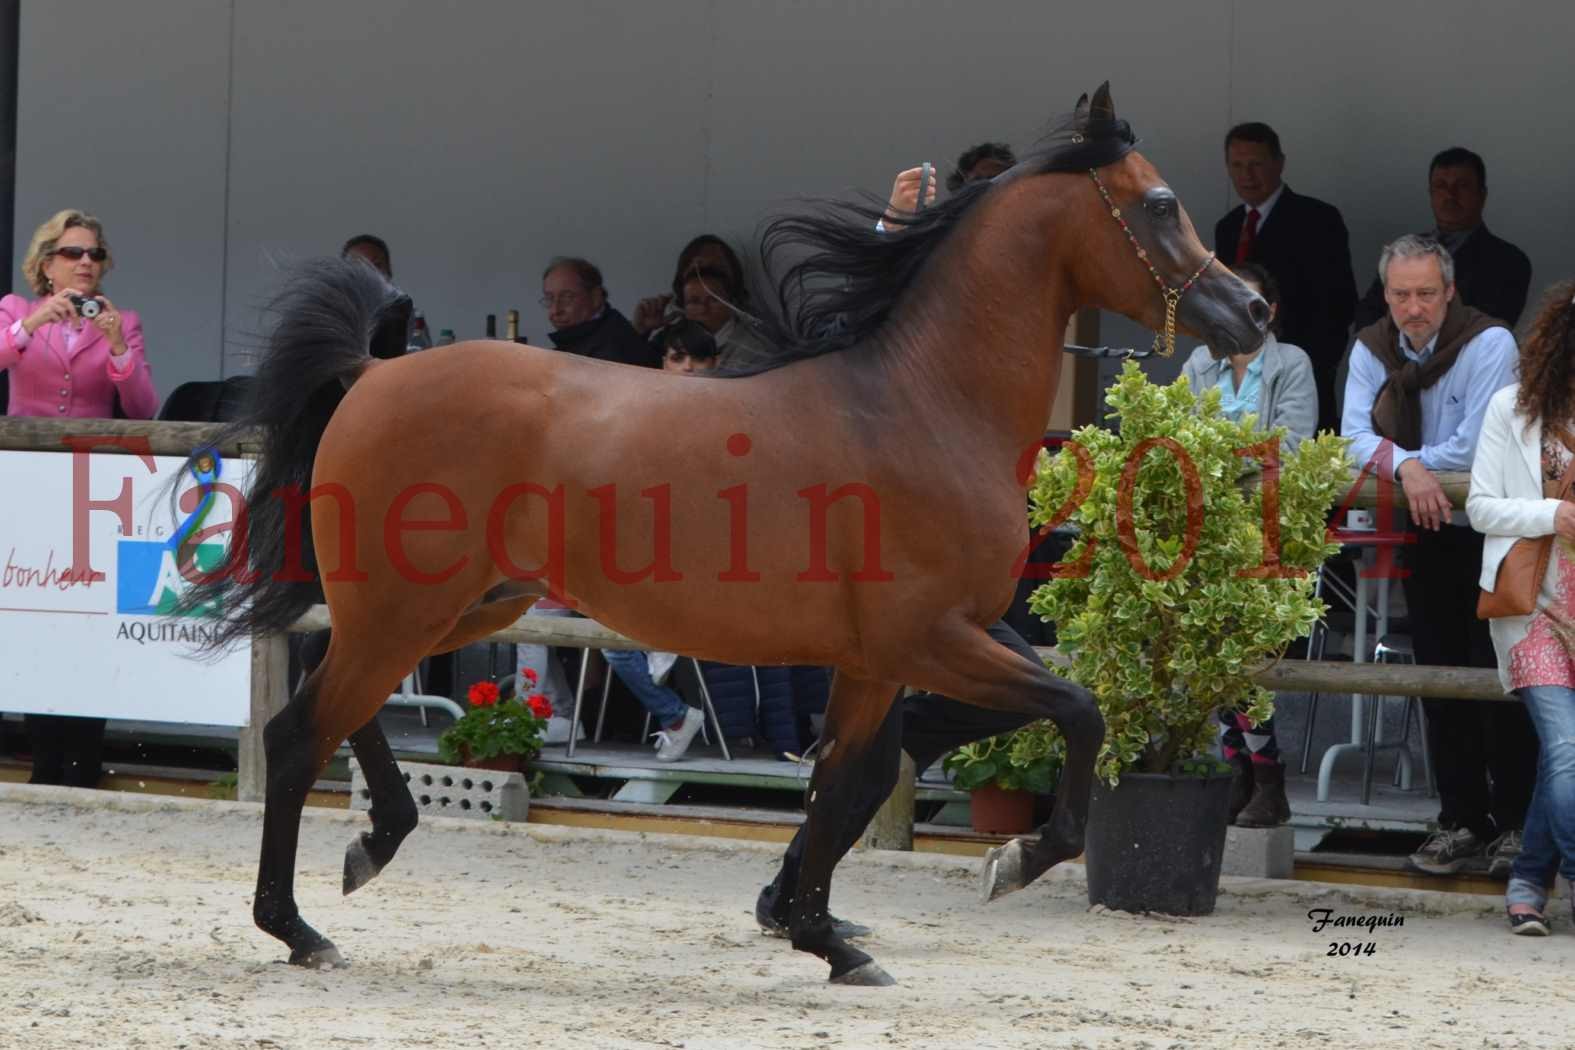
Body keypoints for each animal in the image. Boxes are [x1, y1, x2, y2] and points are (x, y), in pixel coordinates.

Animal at [184, 84, 1266, 994]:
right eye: (1160, 204)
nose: (1252, 311)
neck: (922, 405)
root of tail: (374, 372)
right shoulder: (930, 641)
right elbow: (1076, 712)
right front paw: (1013, 860)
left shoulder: (877, 661)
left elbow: (845, 782)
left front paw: (822, 935)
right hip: (408, 607)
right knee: (299, 728)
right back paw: (299, 927)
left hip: (455, 606)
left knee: (335, 700)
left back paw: (373, 846)